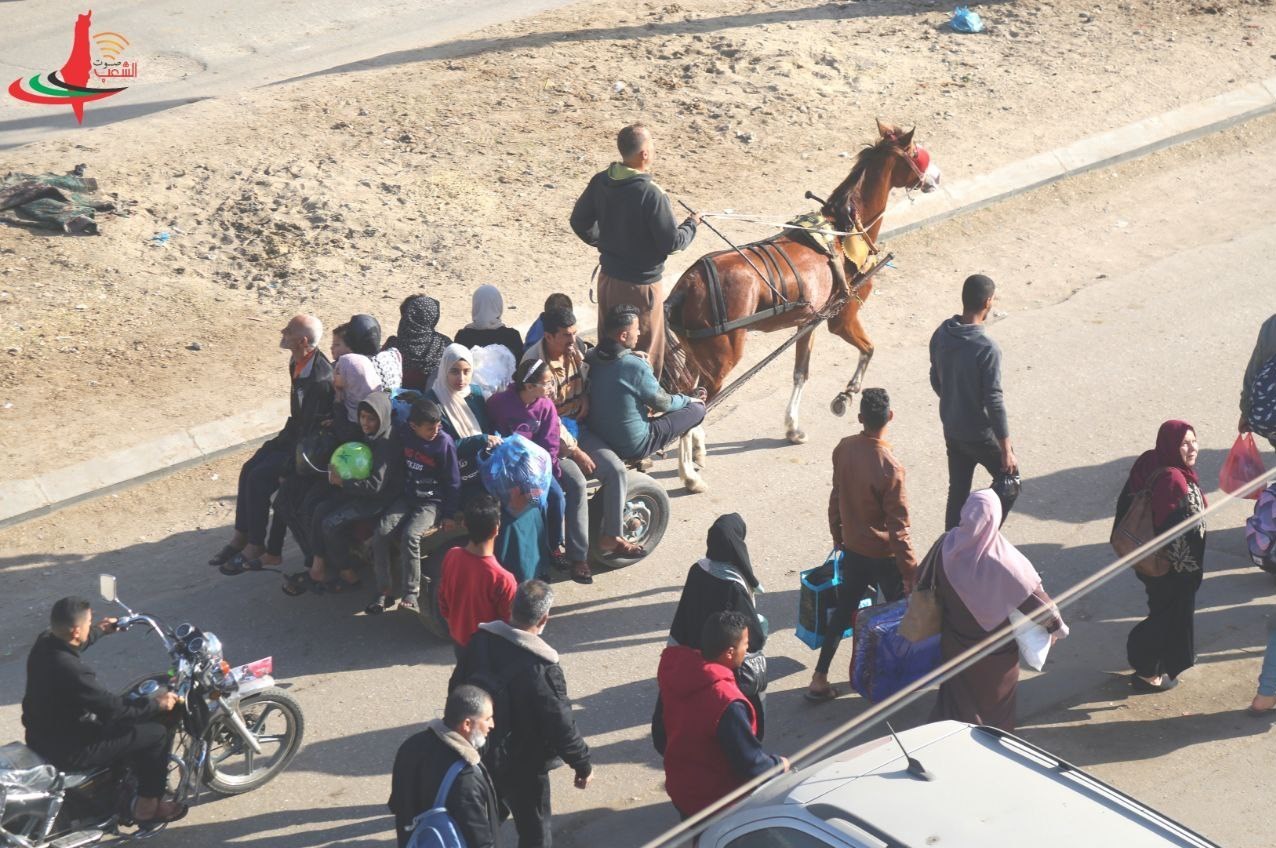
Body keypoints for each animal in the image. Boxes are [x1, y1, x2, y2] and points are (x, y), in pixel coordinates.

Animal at [663, 121, 944, 446]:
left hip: (694, 354)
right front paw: (846, 395)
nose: (936, 177)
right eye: (915, 152)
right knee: (699, 405)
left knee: (686, 395)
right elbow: (869, 349)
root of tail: (689, 282)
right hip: (720, 361)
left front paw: (793, 427)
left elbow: (801, 372)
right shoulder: (843, 316)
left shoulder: (809, 322)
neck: (844, 230)